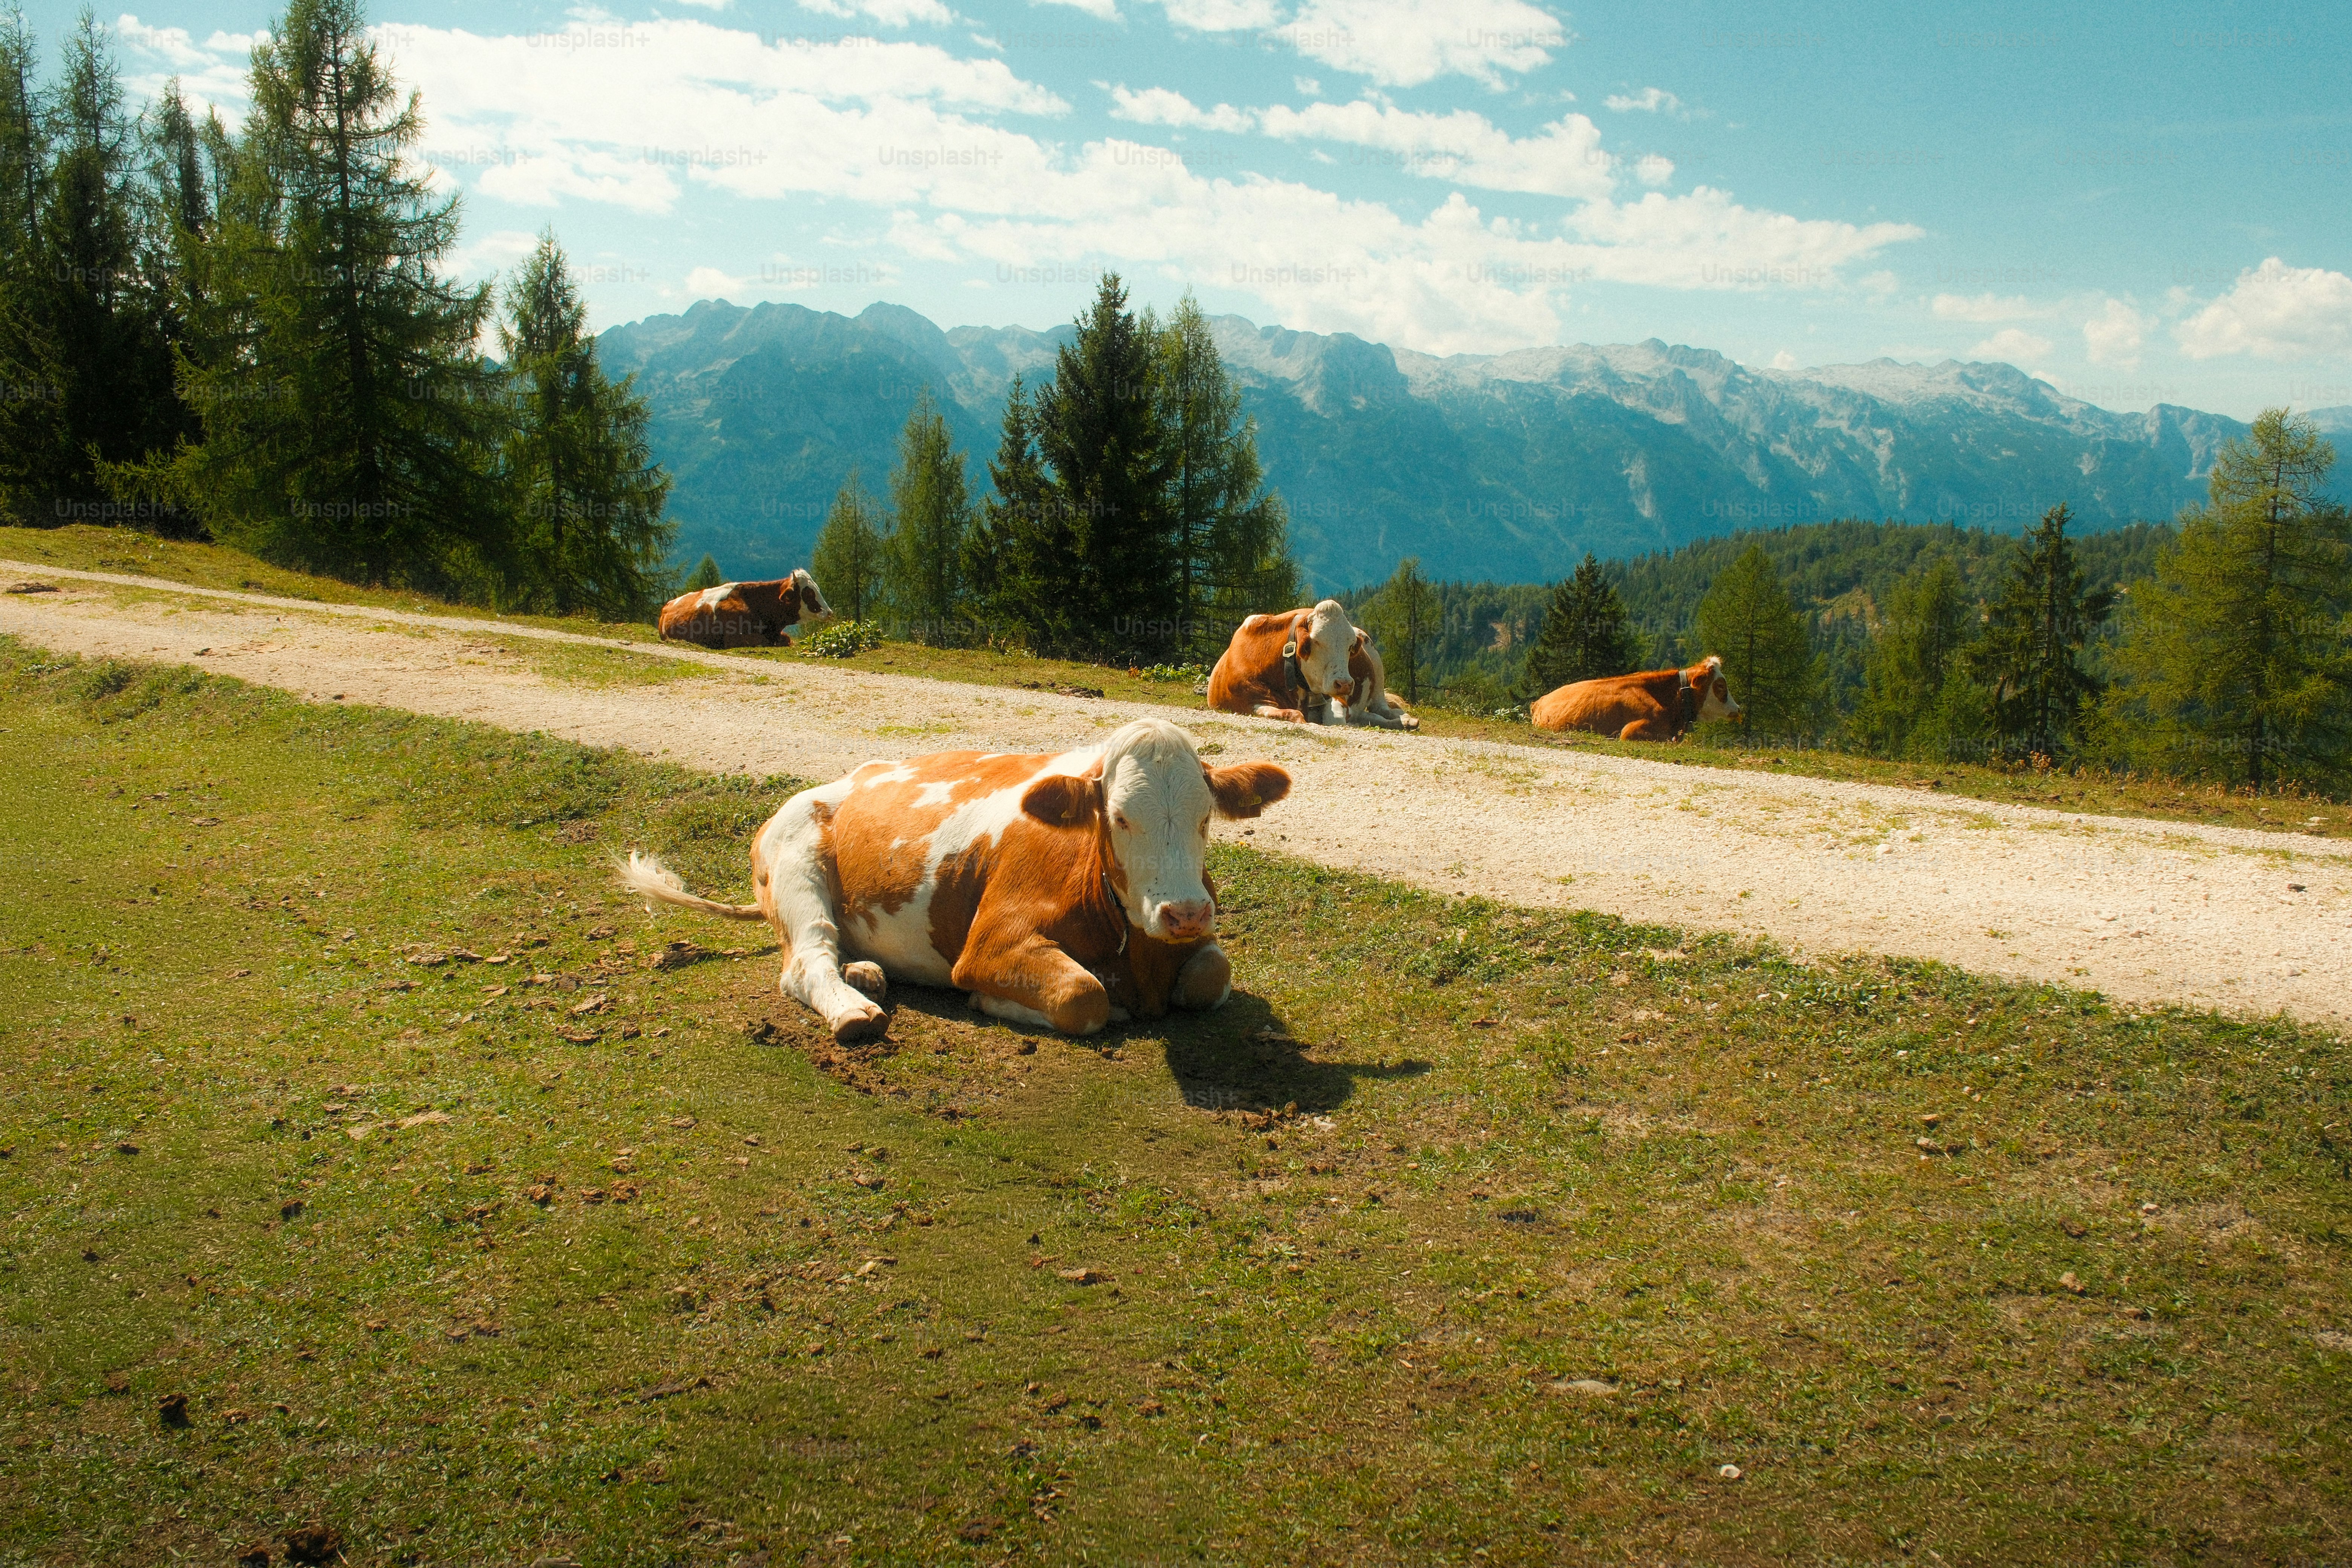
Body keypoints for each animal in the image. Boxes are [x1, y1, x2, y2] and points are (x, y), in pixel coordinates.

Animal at [619, 718, 1291, 1044]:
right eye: (1121, 817)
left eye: (1206, 816)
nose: (1186, 913)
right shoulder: (993, 942)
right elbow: (1085, 996)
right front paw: (997, 1002)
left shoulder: (1194, 953)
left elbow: (1212, 975)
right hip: (795, 866)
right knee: (806, 960)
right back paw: (854, 1008)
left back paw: (866, 972)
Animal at [1205, 599, 1419, 729]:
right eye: (1315, 642)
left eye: (1351, 646)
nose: (1345, 684)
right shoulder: (1249, 703)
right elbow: (1285, 714)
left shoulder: (1335, 697)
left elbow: (1336, 719)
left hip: (1376, 671)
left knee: (1383, 709)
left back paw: (1406, 720)